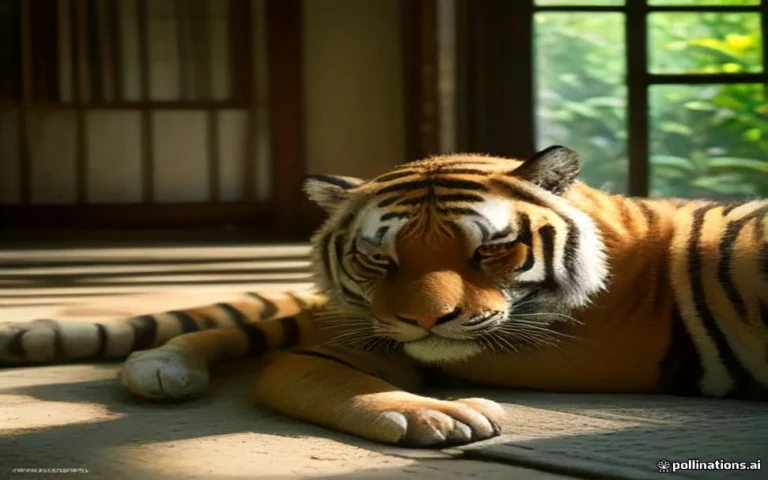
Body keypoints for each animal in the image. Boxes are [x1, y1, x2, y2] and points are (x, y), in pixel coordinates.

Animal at [2, 145, 768, 448]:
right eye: (379, 257)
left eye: (490, 250)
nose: (425, 319)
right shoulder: (348, 342)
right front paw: (440, 415)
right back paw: (156, 366)